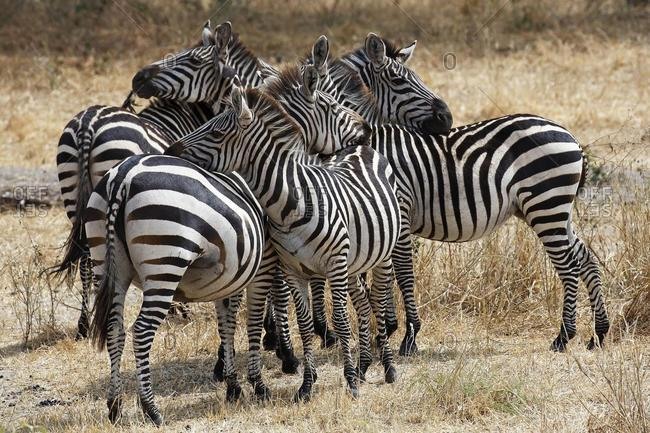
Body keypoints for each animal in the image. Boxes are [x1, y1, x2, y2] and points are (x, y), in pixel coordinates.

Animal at [85, 154, 272, 425]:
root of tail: (123, 176)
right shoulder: (263, 267)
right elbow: (253, 322)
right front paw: (258, 384)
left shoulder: (230, 277)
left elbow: (226, 325)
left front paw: (233, 386)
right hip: (165, 259)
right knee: (141, 331)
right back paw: (151, 409)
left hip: (107, 262)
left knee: (114, 329)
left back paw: (115, 407)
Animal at [169, 71, 401, 400]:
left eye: (216, 132)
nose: (169, 152)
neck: (290, 204)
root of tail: (359, 149)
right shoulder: (293, 269)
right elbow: (302, 324)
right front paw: (306, 384)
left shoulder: (328, 264)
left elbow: (340, 320)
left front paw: (348, 382)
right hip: (355, 259)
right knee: (363, 300)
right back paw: (365, 364)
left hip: (379, 255)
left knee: (379, 299)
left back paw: (388, 367)